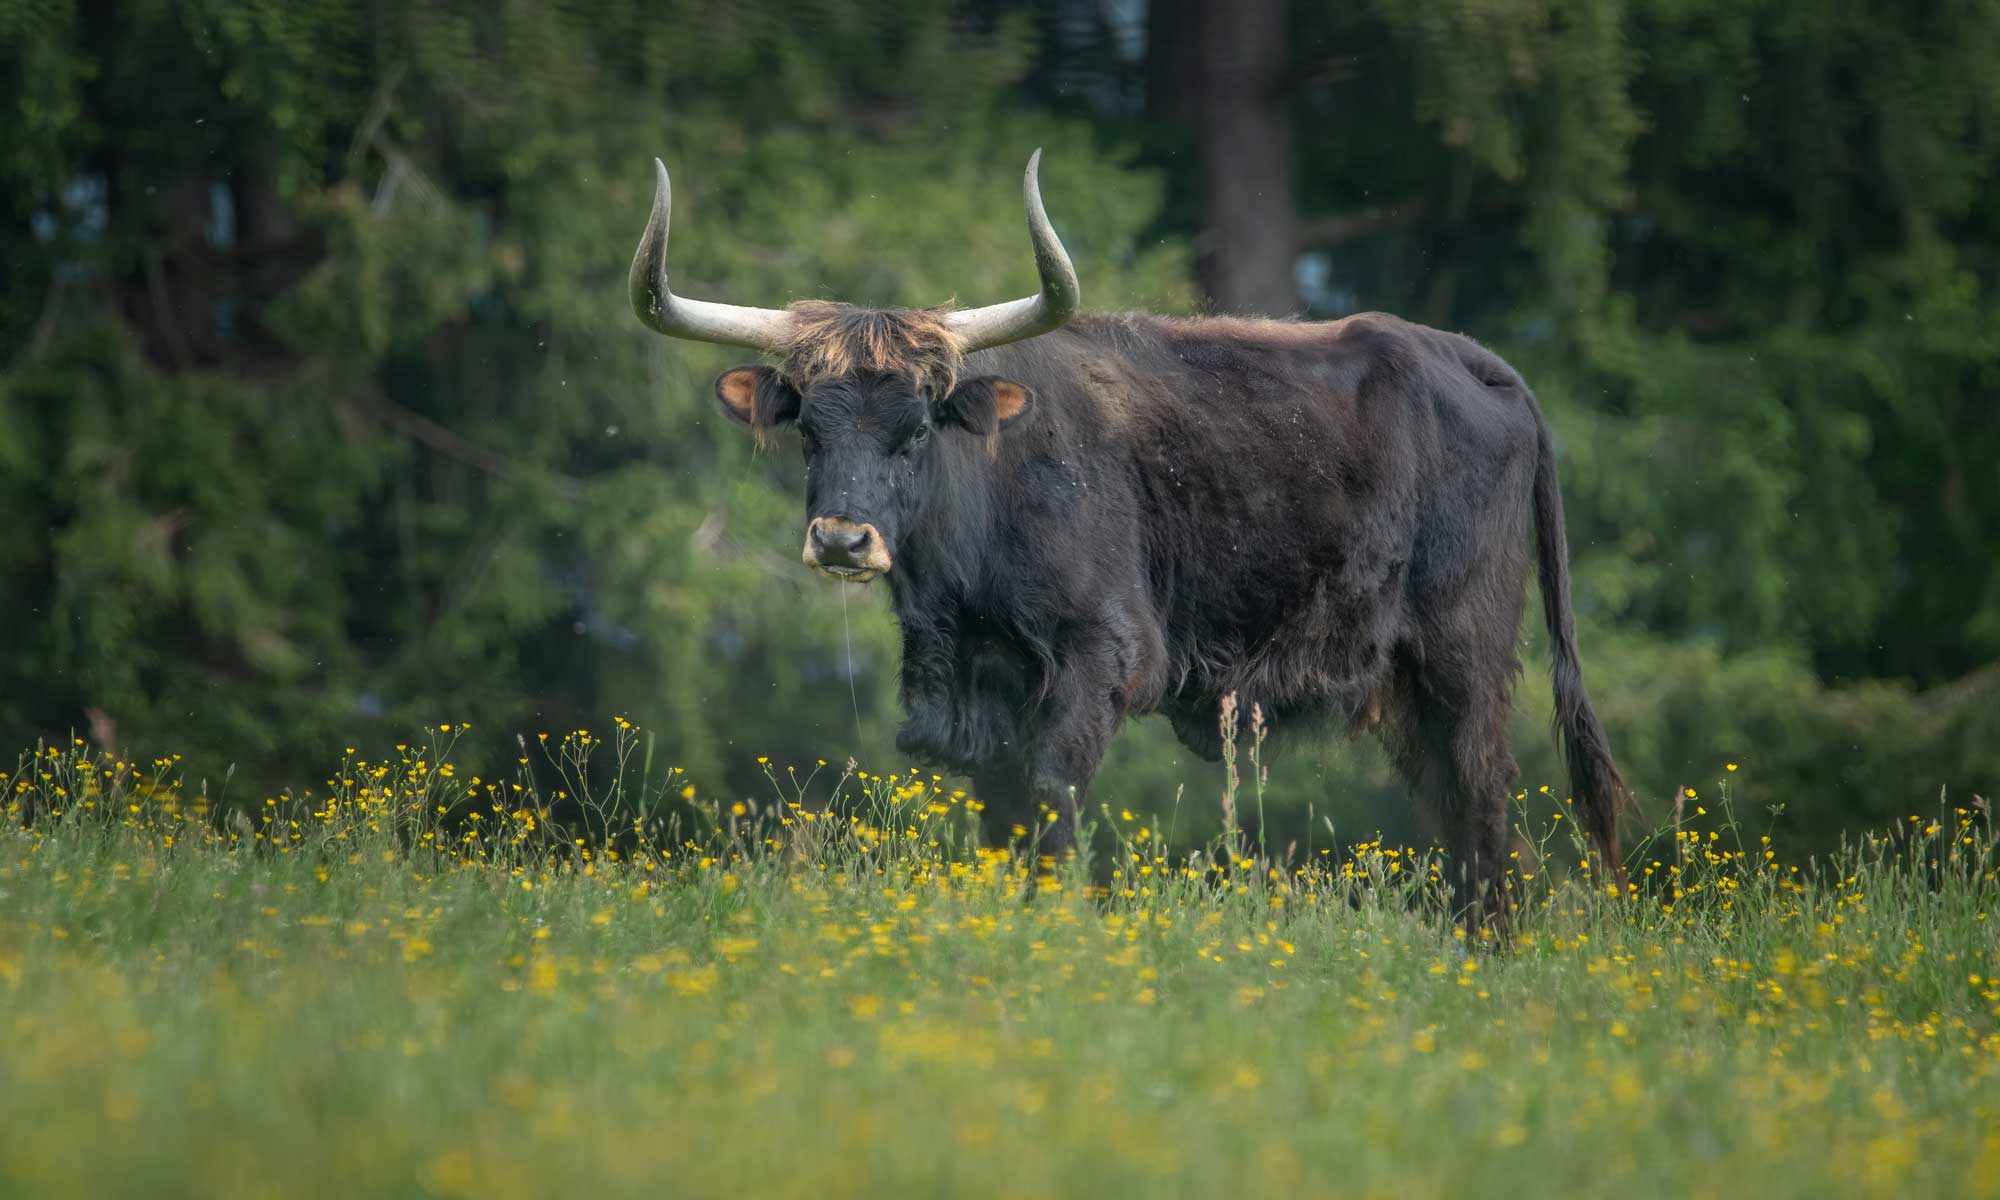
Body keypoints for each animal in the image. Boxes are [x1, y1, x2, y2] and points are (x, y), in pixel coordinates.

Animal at [624, 145, 1624, 924]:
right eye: (810, 431)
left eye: (915, 432)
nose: (841, 541)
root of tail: (1469, 360)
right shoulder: (984, 690)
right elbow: (1006, 820)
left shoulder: (1099, 656)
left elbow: (1053, 803)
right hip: (1406, 690)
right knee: (1457, 810)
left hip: (1464, 652)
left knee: (1483, 796)